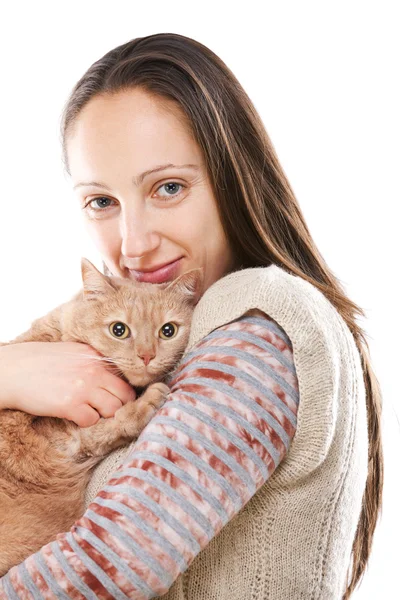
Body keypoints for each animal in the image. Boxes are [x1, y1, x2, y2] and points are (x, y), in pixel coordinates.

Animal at [0, 258, 202, 576]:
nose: (146, 356)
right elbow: (105, 428)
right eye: (119, 330)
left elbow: (99, 434)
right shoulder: (55, 440)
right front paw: (146, 403)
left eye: (168, 331)